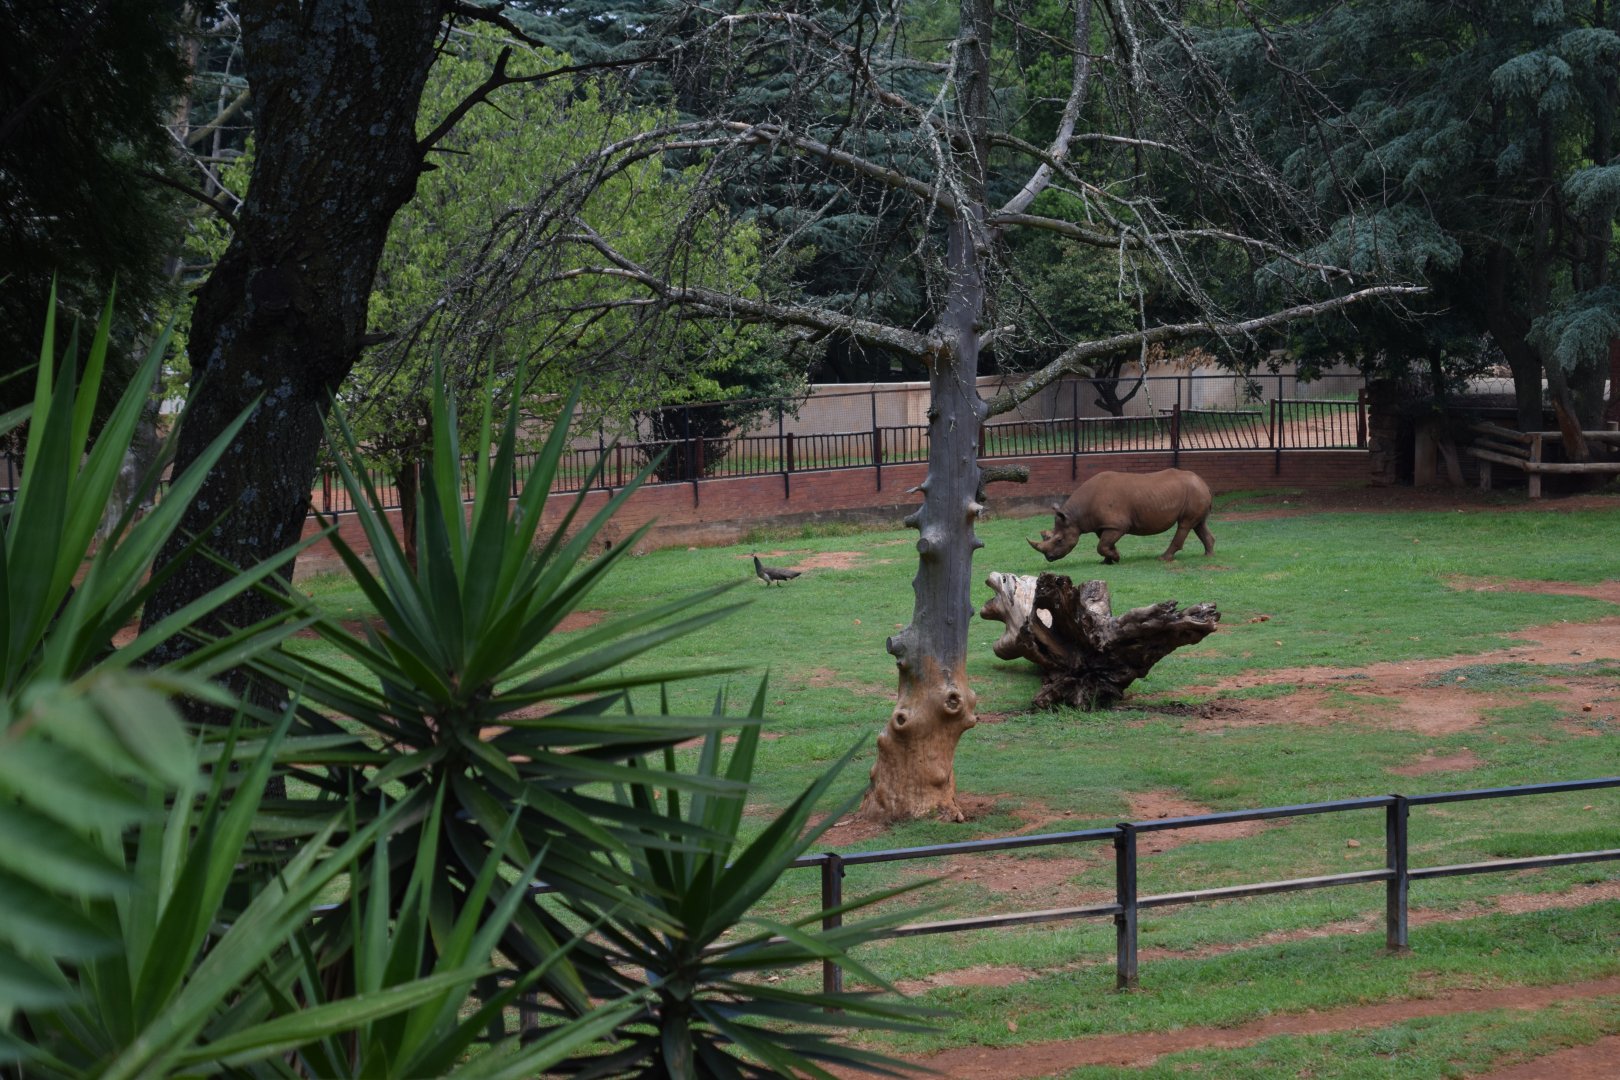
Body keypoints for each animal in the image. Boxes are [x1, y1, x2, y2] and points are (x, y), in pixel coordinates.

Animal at [1028, 468, 1214, 564]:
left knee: (1185, 524)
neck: (1074, 517)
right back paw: (1208, 555)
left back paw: (1163, 558)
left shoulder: (1118, 525)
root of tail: (1203, 482)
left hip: (1194, 491)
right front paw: (1109, 559)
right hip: (1196, 492)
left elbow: (1102, 545)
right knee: (1199, 524)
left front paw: (1115, 558)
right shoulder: (1102, 525)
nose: (1049, 558)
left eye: (1059, 540)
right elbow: (1104, 543)